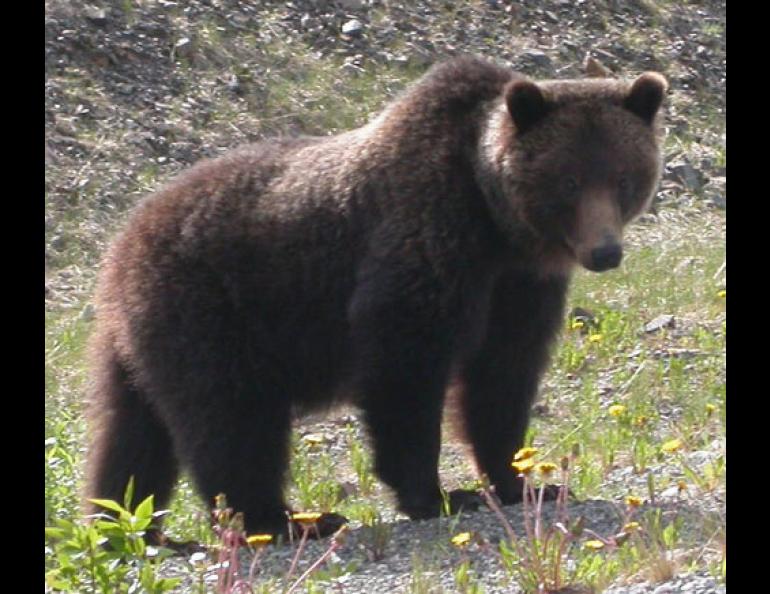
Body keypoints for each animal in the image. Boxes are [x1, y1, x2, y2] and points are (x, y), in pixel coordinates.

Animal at [85, 55, 664, 536]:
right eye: (568, 181)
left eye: (623, 177)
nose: (605, 251)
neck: (495, 224)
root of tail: (120, 245)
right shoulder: (424, 240)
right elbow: (405, 364)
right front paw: (436, 494)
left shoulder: (519, 287)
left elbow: (502, 376)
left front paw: (524, 482)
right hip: (212, 307)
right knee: (232, 415)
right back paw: (283, 520)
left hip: (143, 341)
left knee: (131, 433)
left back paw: (127, 525)